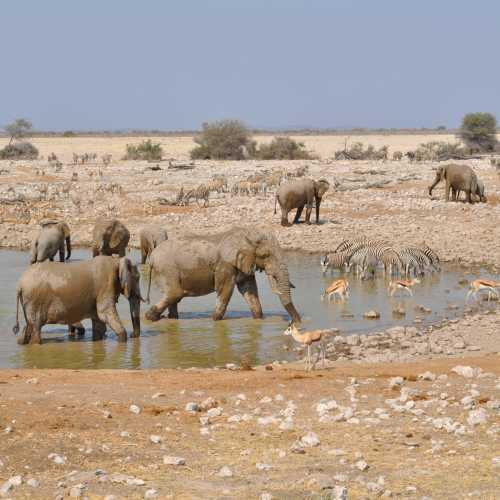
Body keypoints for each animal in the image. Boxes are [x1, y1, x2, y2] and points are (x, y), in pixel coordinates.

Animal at [13, 256, 141, 346]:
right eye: (138, 278)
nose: (132, 335)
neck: (116, 261)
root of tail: (19, 284)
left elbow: (98, 322)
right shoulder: (105, 285)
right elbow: (104, 313)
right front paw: (124, 337)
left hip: (29, 302)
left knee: (28, 327)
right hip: (34, 300)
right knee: (35, 329)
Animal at [145, 228, 300, 322]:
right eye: (265, 255)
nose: (296, 322)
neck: (248, 235)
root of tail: (152, 258)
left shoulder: (244, 263)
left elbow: (249, 289)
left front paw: (258, 319)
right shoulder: (225, 264)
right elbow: (225, 289)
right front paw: (215, 319)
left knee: (174, 297)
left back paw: (171, 318)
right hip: (167, 269)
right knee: (175, 293)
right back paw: (149, 317)